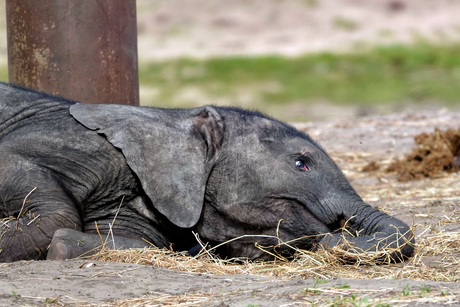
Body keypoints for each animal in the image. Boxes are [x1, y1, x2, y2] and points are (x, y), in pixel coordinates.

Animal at [0, 83, 414, 262]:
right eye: (302, 164)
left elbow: (129, 240)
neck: (175, 118)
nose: (333, 238)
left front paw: (63, 246)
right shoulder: (75, 142)